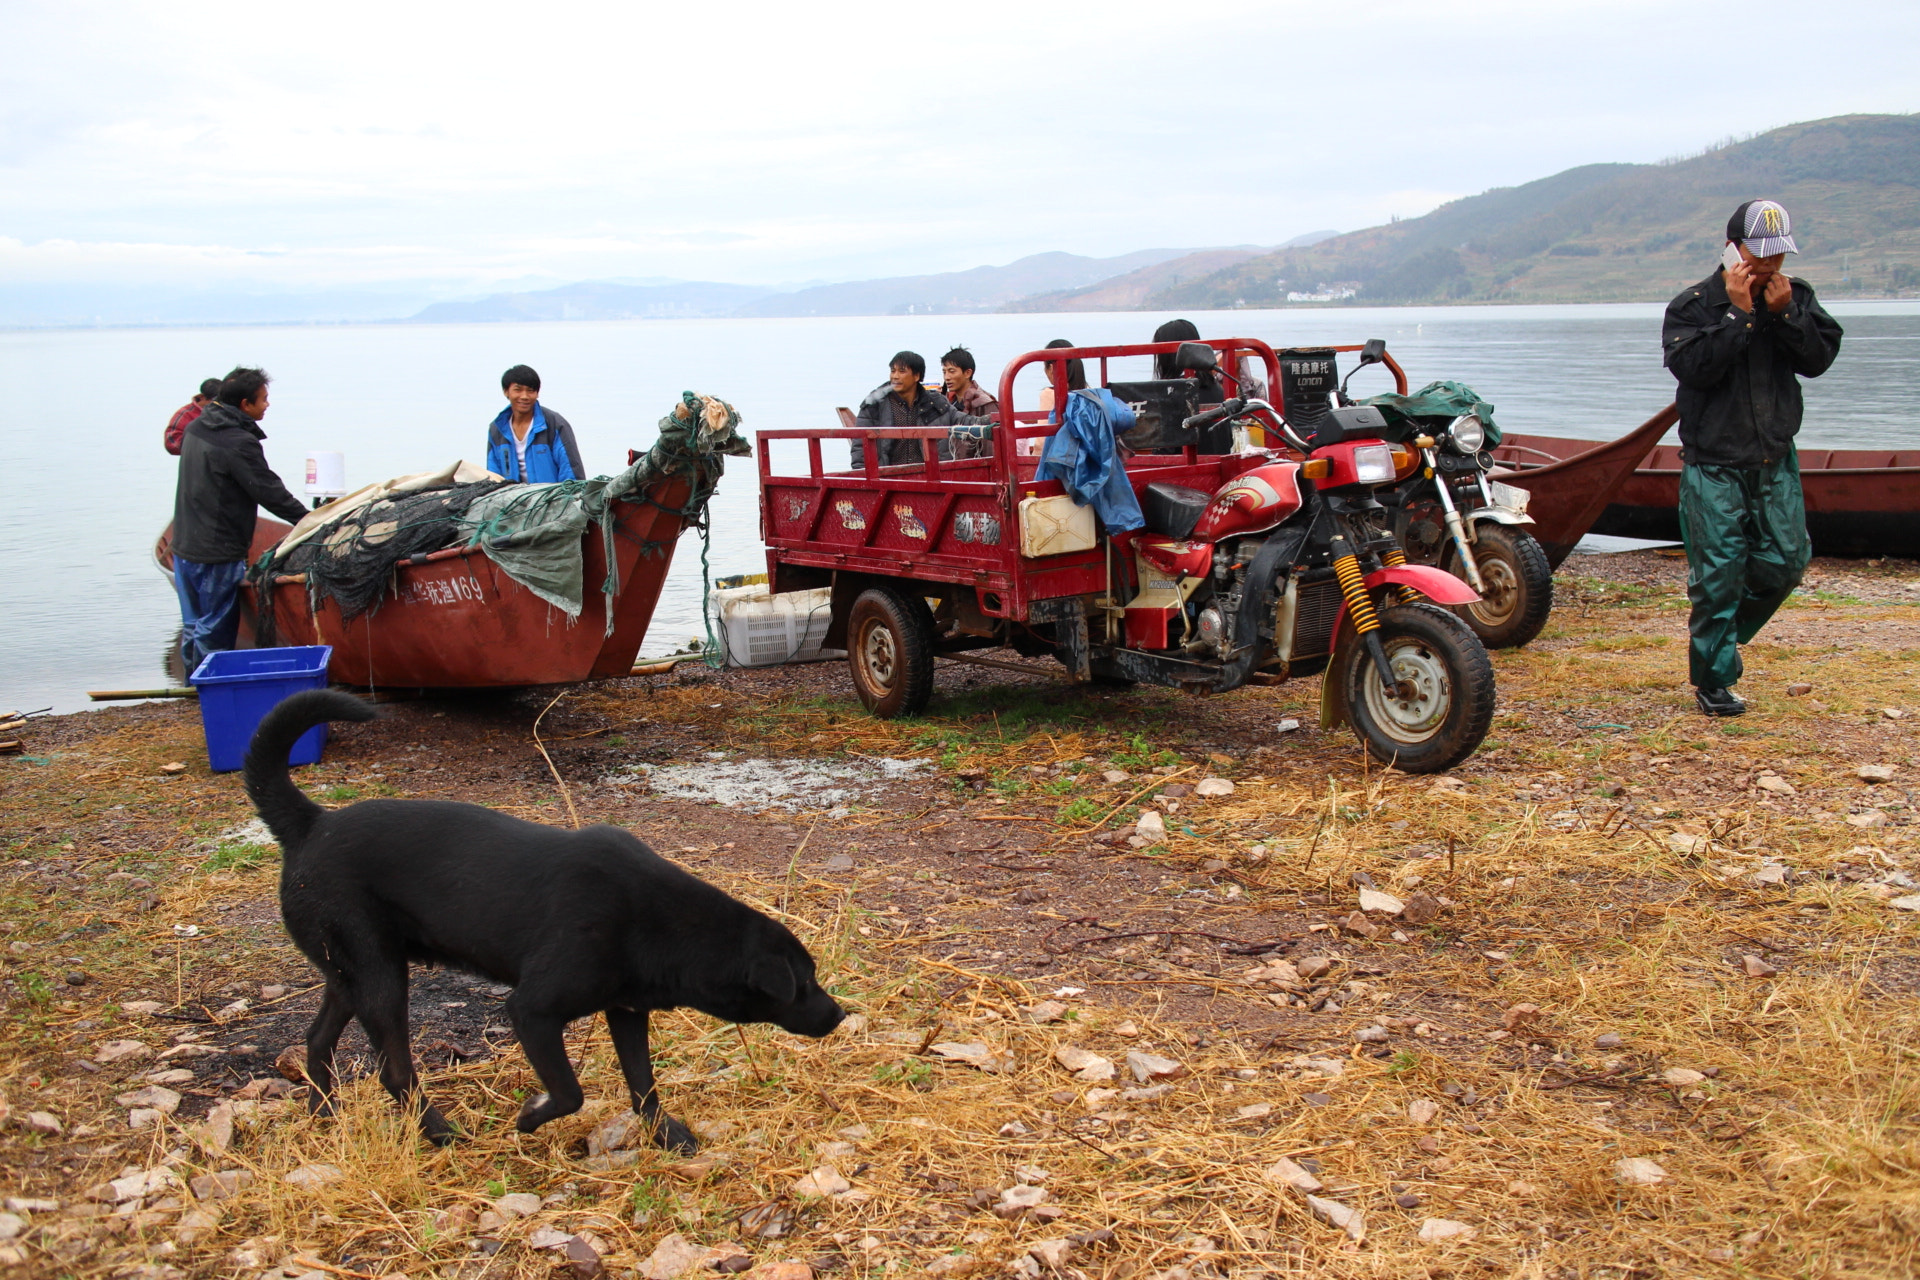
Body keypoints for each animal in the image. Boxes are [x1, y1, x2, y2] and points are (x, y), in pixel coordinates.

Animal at [241, 690, 840, 1151]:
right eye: (804, 983)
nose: (839, 1014)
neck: (659, 921)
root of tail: (312, 824)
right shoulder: (532, 1010)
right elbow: (570, 1092)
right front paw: (530, 1116)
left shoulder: (626, 1011)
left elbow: (643, 1084)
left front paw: (665, 1135)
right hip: (379, 975)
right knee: (394, 1069)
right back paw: (439, 1132)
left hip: (351, 974)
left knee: (317, 1041)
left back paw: (324, 1115)